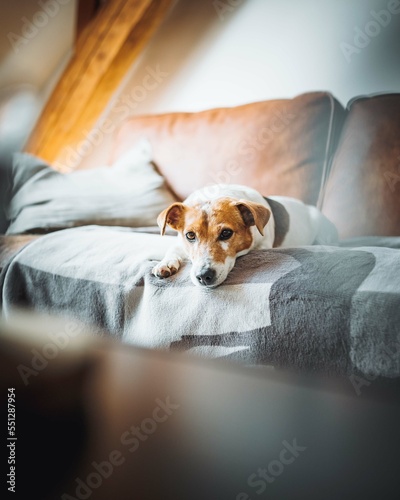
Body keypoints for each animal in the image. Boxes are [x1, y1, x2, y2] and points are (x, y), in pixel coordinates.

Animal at [152, 184, 338, 288]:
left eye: (226, 233)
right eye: (190, 235)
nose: (204, 276)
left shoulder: (263, 245)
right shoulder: (180, 243)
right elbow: (173, 249)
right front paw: (166, 263)